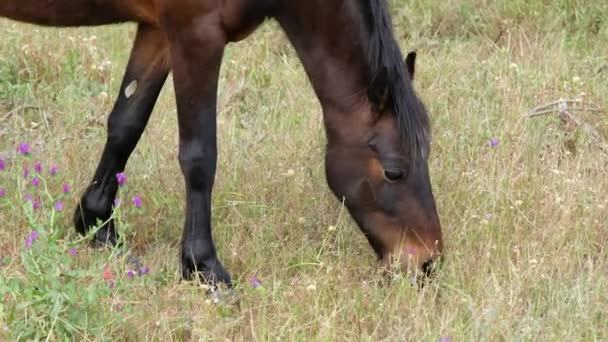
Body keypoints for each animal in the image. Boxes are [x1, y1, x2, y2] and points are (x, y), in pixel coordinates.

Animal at [2, 0, 444, 286]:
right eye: (393, 171)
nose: (427, 263)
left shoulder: (159, 31)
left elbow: (126, 124)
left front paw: (97, 224)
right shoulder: (197, 34)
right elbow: (200, 155)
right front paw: (203, 266)